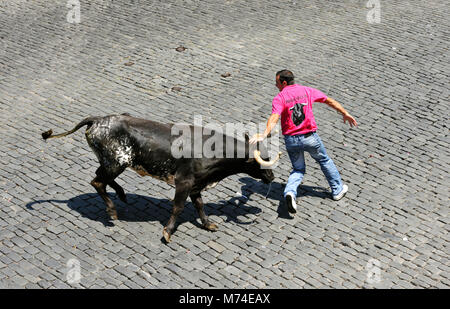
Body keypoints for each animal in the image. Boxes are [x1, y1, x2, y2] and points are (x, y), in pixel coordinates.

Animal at [43, 113, 282, 241]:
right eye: (262, 161)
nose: (271, 176)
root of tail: (98, 119)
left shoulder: (196, 184)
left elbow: (200, 206)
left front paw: (207, 224)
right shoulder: (184, 182)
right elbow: (178, 207)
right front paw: (167, 232)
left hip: (111, 163)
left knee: (99, 178)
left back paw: (121, 194)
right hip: (115, 163)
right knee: (97, 181)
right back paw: (112, 210)